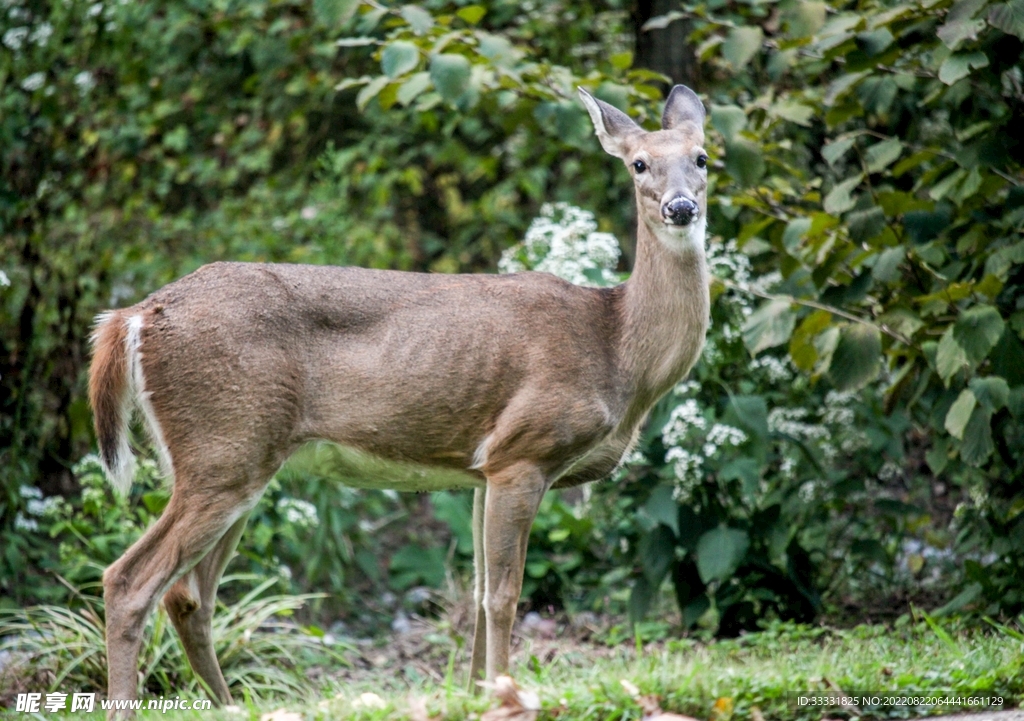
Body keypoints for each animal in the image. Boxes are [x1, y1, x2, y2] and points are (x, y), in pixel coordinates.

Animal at [88, 84, 710, 714]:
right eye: (639, 164)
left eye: (703, 158)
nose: (681, 207)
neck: (615, 345)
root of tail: (133, 316)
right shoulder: (523, 451)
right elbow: (504, 594)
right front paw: (507, 693)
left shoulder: (483, 469)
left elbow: (479, 591)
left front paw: (473, 692)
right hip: (224, 447)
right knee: (129, 581)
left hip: (231, 461)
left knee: (189, 597)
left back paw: (236, 705)